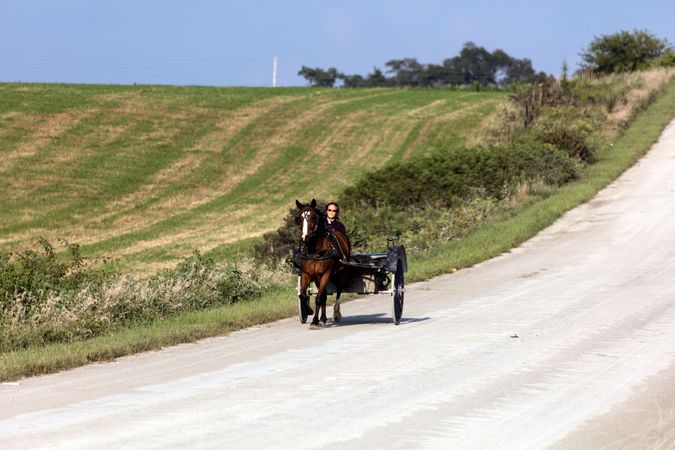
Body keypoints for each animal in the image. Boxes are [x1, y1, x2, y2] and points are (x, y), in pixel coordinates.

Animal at [294, 199, 352, 328]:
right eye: (299, 218)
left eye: (313, 217)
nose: (305, 237)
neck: (315, 251)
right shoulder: (306, 274)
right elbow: (303, 295)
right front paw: (309, 311)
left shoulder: (326, 274)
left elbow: (318, 298)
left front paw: (315, 321)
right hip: (318, 278)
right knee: (324, 294)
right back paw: (323, 319)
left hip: (341, 273)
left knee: (338, 291)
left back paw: (336, 314)